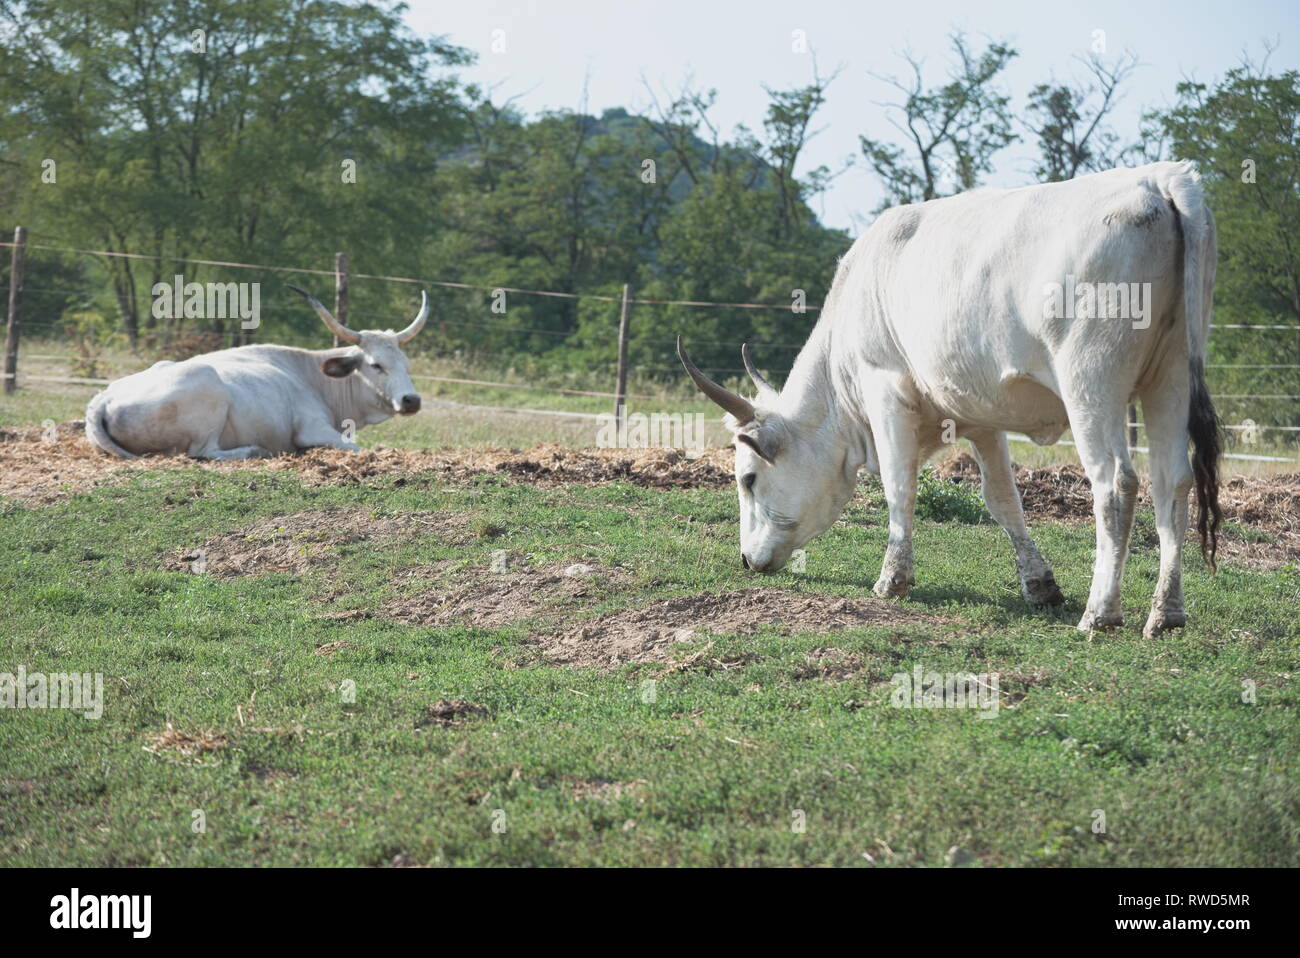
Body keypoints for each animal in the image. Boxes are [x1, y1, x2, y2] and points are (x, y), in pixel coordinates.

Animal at [85, 286, 428, 459]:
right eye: (376, 365)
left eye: (406, 364)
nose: (412, 400)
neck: (314, 378)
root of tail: (103, 398)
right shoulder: (312, 428)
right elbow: (357, 447)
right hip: (208, 391)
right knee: (203, 452)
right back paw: (255, 450)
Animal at [679, 160, 1222, 638]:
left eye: (748, 479)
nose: (746, 559)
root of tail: (1158, 178)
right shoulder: (981, 417)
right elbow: (1003, 500)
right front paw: (1039, 584)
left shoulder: (886, 392)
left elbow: (899, 487)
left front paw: (892, 578)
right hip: (1169, 379)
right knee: (1172, 483)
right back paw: (1166, 613)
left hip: (1091, 381)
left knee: (1116, 484)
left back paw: (1101, 612)